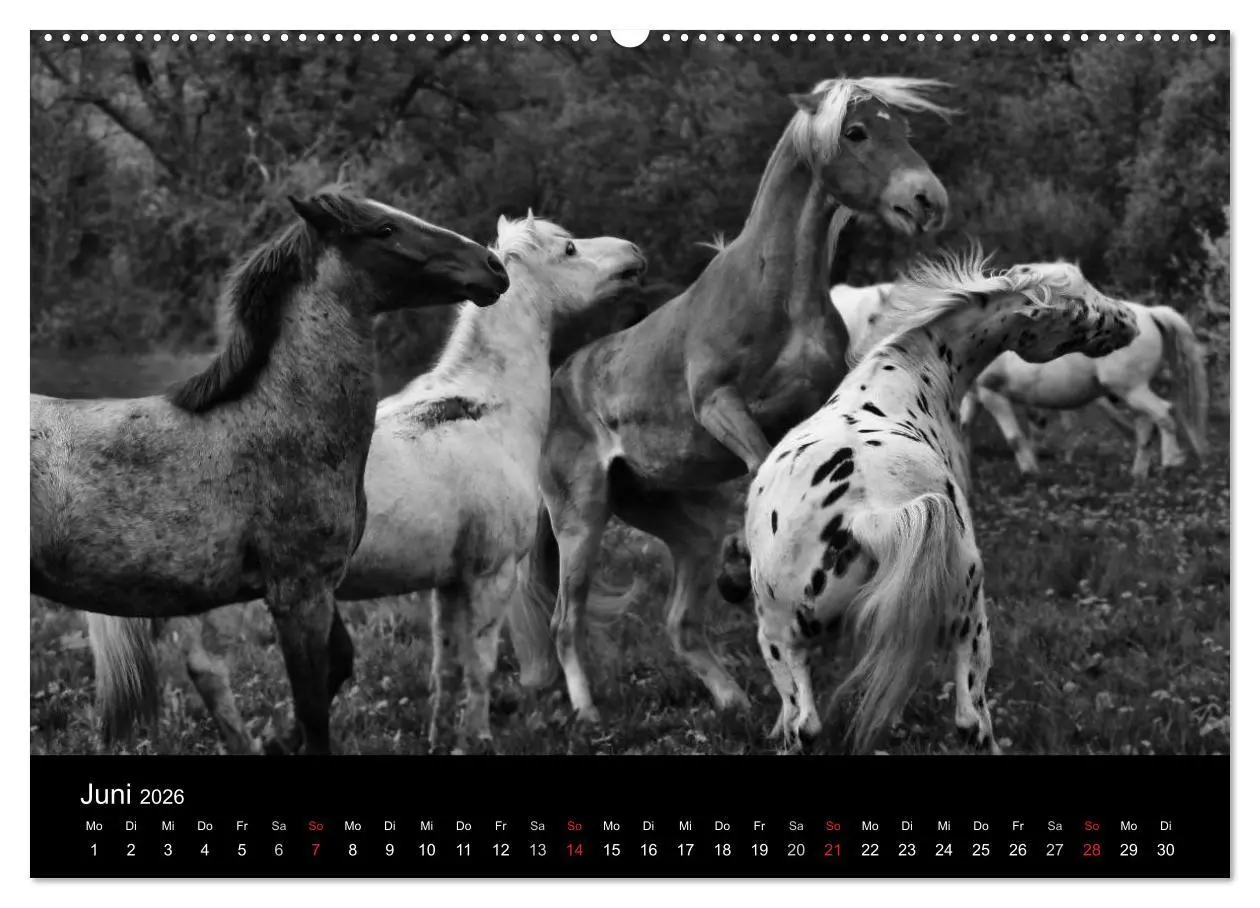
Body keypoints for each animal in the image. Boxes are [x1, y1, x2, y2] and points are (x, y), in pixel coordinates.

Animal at [33, 189, 509, 754]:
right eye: (385, 230)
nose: (492, 267)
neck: (277, 423)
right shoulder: (298, 595)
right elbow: (313, 709)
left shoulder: (320, 588)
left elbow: (338, 667)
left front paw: (277, 741)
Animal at [86, 214, 645, 753]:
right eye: (569, 249)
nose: (634, 254)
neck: (486, 409)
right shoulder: (492, 574)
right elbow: (480, 668)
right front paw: (476, 740)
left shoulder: (449, 581)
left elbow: (445, 667)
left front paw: (439, 739)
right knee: (209, 670)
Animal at [509, 76, 953, 724]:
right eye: (856, 132)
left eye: (905, 128)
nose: (927, 201)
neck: (777, 293)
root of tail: (558, 386)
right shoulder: (719, 404)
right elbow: (760, 464)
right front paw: (745, 566)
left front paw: (746, 569)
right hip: (581, 520)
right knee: (565, 620)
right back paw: (588, 713)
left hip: (666, 517)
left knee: (679, 622)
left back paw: (731, 696)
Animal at [728, 250, 1139, 754]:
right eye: (1080, 306)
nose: (1131, 321)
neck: (896, 382)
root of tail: (866, 514)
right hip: (963, 627)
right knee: (968, 722)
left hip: (797, 642)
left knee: (809, 724)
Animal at [959, 262, 1209, 480]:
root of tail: (1149, 313)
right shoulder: (974, 395)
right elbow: (963, 428)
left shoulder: (991, 393)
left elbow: (1014, 438)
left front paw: (1031, 472)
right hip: (1133, 392)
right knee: (1146, 427)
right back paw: (1138, 475)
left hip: (1129, 389)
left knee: (1163, 413)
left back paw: (1169, 462)